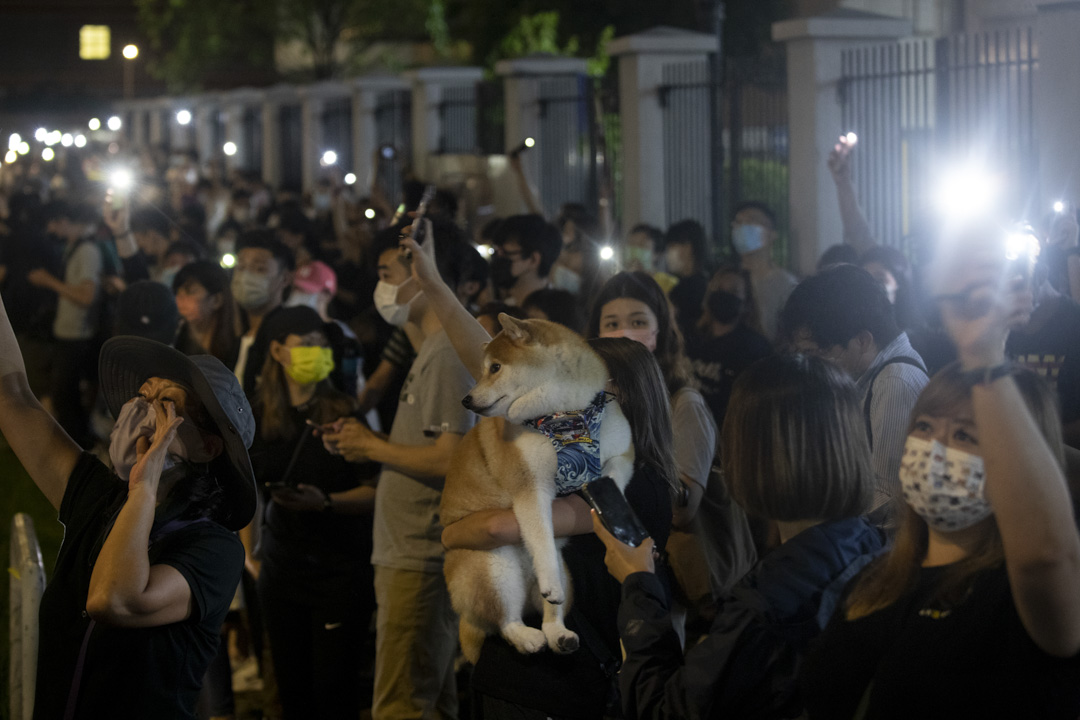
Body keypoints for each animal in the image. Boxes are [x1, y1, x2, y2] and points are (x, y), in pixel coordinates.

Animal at [442, 315, 635, 664]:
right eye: (483, 368)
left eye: (495, 367)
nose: (466, 399)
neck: (567, 416)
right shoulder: (531, 487)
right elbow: (542, 537)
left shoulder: (622, 455)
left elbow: (612, 477)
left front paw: (613, 510)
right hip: (493, 568)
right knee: (506, 621)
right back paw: (527, 636)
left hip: (565, 572)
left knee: (550, 615)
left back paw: (559, 634)